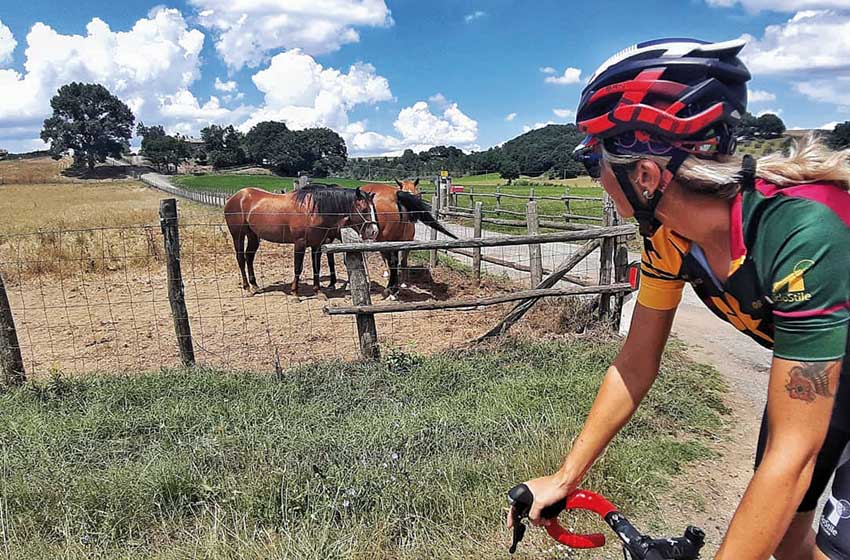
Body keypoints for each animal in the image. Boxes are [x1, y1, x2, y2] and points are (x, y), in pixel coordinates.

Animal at [224, 185, 376, 298]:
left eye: (373, 208)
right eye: (364, 209)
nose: (374, 231)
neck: (313, 210)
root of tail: (234, 197)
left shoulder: (316, 245)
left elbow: (316, 267)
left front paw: (318, 291)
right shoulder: (300, 243)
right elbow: (298, 267)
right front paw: (295, 293)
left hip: (253, 236)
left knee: (249, 258)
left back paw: (255, 286)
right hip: (238, 235)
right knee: (241, 258)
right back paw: (247, 288)